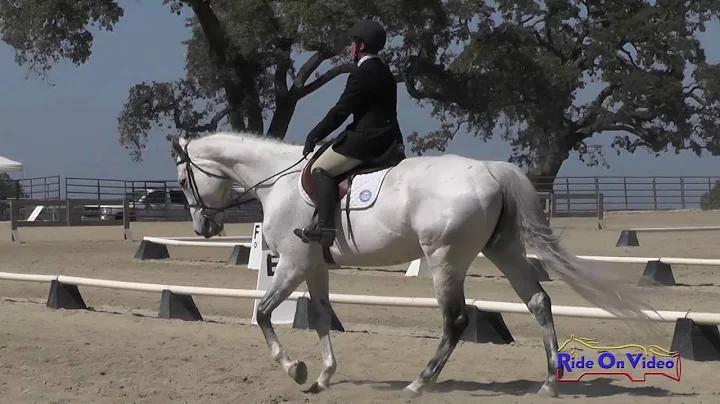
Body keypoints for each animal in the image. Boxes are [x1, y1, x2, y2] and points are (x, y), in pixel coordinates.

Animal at [172, 132, 656, 398]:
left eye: (182, 180)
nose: (203, 226)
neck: (280, 180)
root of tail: (491, 170)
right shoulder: (314, 267)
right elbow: (322, 315)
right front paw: (323, 377)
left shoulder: (291, 264)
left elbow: (263, 313)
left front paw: (295, 369)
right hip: (503, 251)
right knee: (539, 302)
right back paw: (550, 383)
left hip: (445, 258)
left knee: (456, 320)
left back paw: (419, 383)